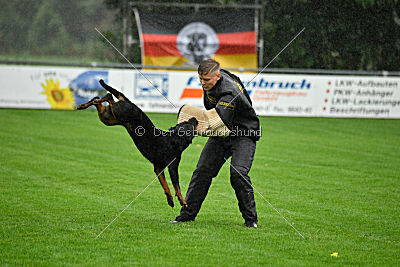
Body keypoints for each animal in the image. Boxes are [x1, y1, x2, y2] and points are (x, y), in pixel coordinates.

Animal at [76, 79, 197, 209]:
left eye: (186, 122)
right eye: (189, 124)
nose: (195, 118)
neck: (174, 139)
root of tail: (129, 102)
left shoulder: (158, 168)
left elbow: (165, 185)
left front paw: (170, 199)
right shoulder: (172, 168)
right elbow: (176, 186)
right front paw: (182, 201)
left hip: (108, 118)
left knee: (99, 102)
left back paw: (84, 105)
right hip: (118, 111)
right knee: (108, 96)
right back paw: (98, 99)